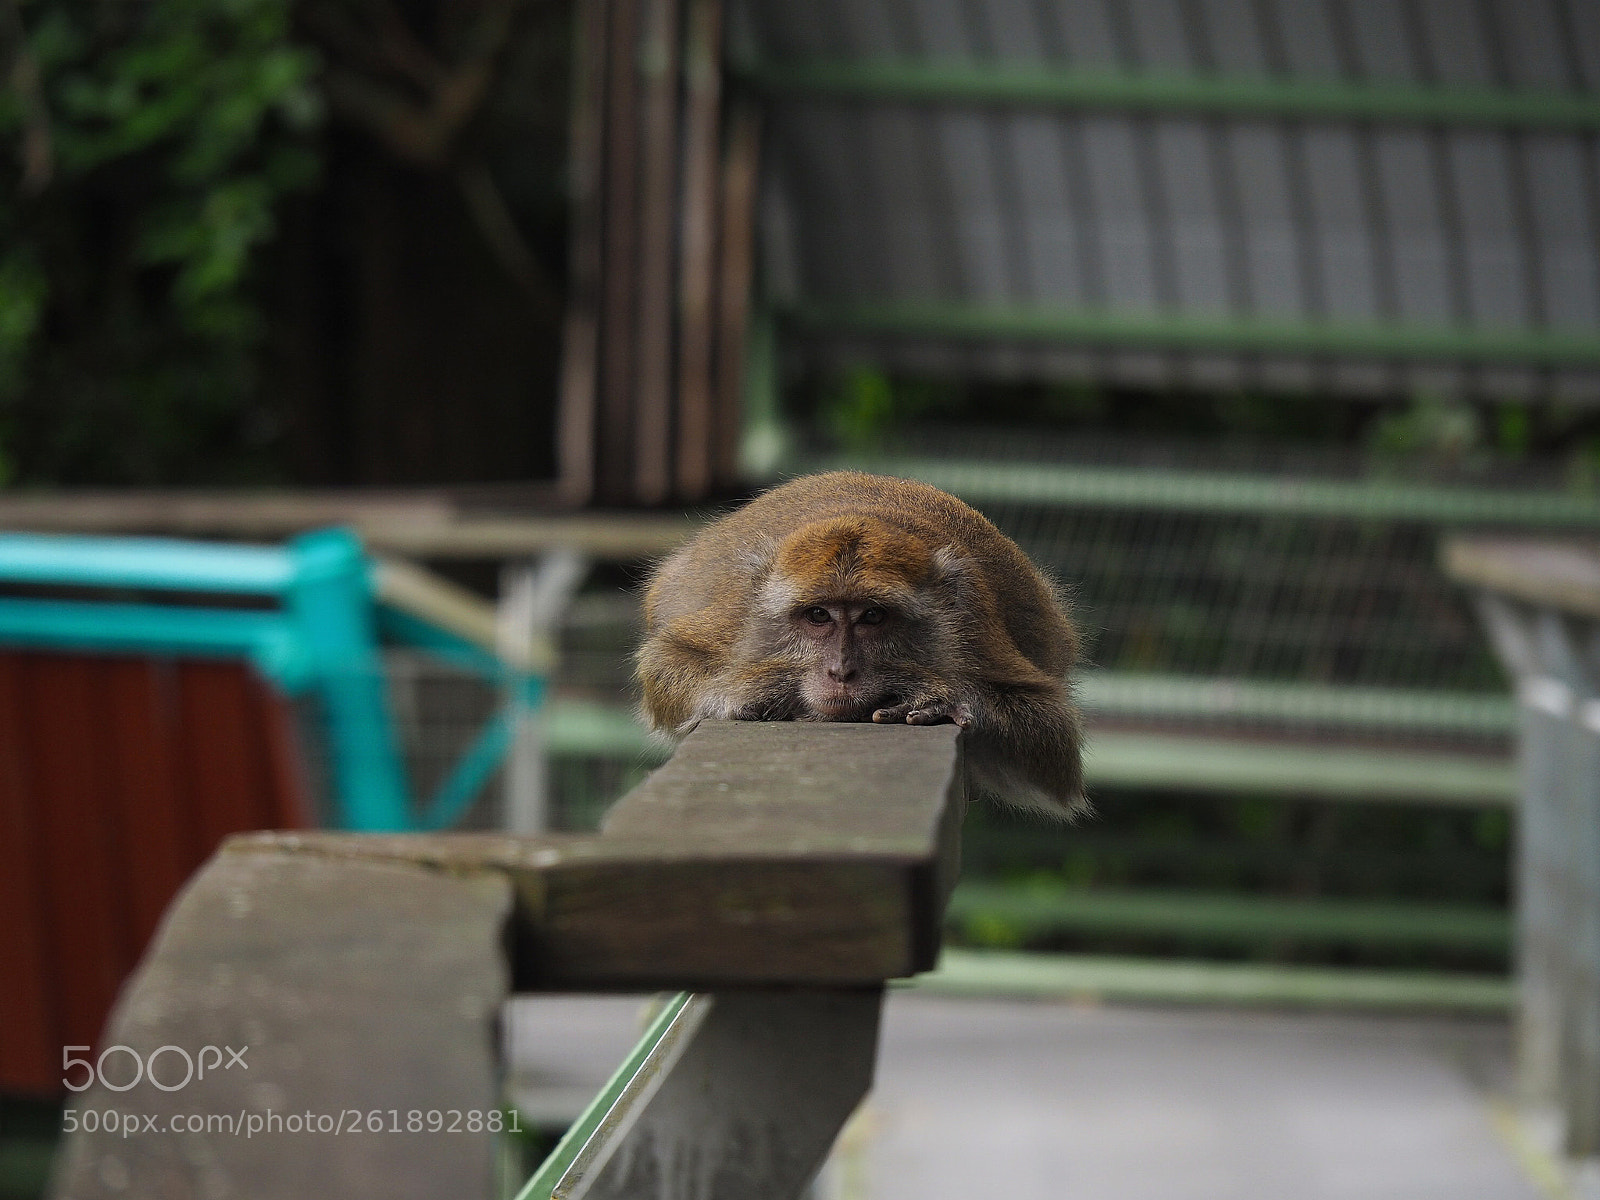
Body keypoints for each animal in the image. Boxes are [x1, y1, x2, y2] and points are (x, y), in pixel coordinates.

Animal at [635, 471, 1085, 817]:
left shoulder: (970, 623)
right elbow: (666, 660)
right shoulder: (739, 617)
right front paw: (751, 692)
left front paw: (946, 700)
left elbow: (1053, 737)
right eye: (819, 616)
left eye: (872, 617)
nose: (841, 671)